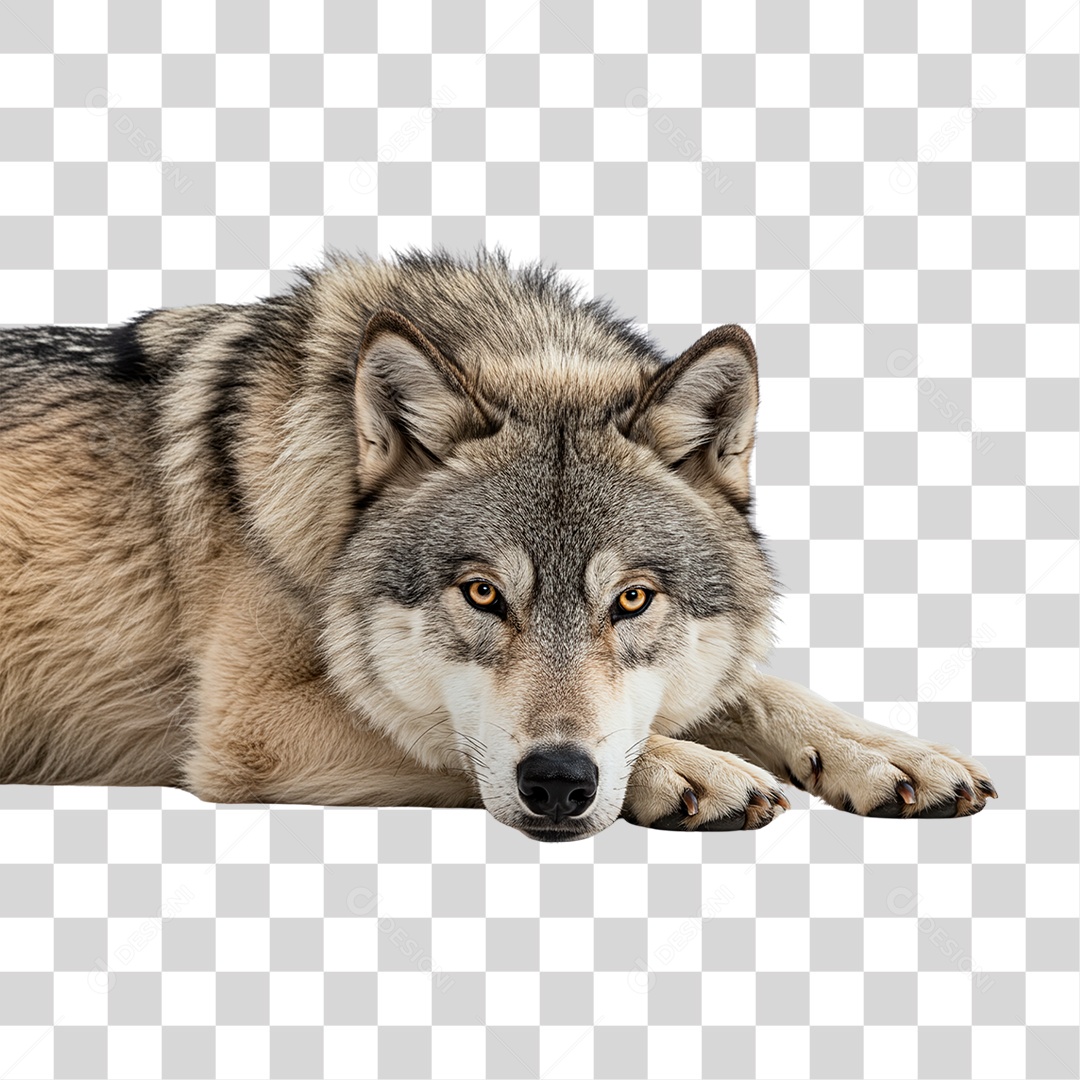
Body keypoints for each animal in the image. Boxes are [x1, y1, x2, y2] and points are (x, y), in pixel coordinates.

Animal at [0, 249, 996, 841]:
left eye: (632, 599)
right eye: (483, 594)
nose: (559, 783)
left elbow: (757, 687)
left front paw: (885, 753)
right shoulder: (251, 726)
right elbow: (446, 732)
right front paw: (681, 765)